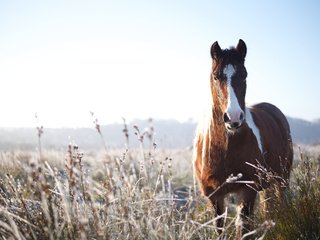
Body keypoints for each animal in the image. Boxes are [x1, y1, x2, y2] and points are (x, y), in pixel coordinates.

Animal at [192, 39, 292, 236]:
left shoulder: (247, 190)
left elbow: (244, 230)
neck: (224, 148)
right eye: (216, 76)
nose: (234, 118)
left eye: (244, 75)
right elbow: (220, 229)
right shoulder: (215, 196)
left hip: (282, 179)